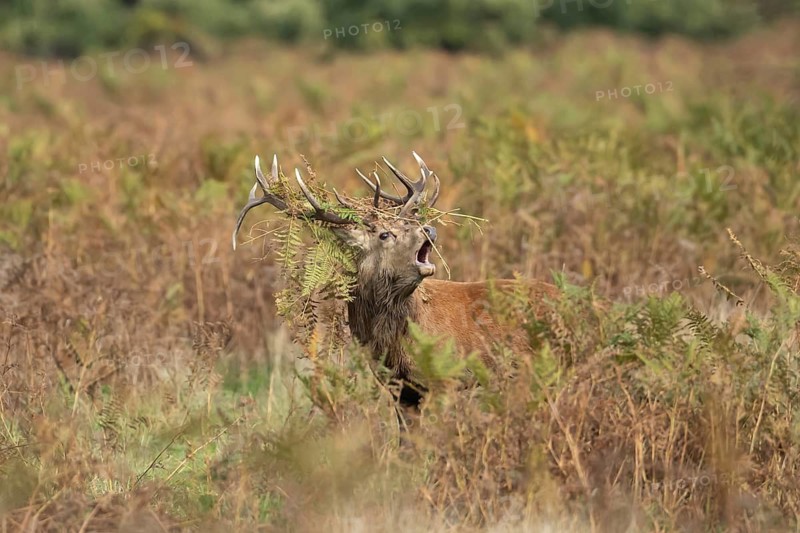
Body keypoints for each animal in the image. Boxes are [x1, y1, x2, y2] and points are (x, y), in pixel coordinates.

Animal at [232, 152, 558, 414]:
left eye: (408, 222)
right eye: (385, 233)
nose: (428, 228)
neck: (392, 343)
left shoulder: (448, 378)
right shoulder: (400, 390)